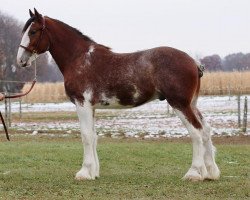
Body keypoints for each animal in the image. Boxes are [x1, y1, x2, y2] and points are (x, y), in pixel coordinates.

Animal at [16, 9, 220, 181]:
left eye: (33, 31)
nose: (20, 60)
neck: (79, 58)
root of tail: (193, 62)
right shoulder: (91, 107)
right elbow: (93, 136)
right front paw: (94, 173)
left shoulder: (82, 104)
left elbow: (86, 136)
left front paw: (84, 172)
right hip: (191, 104)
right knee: (206, 130)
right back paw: (210, 172)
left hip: (180, 104)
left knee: (196, 132)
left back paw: (194, 173)